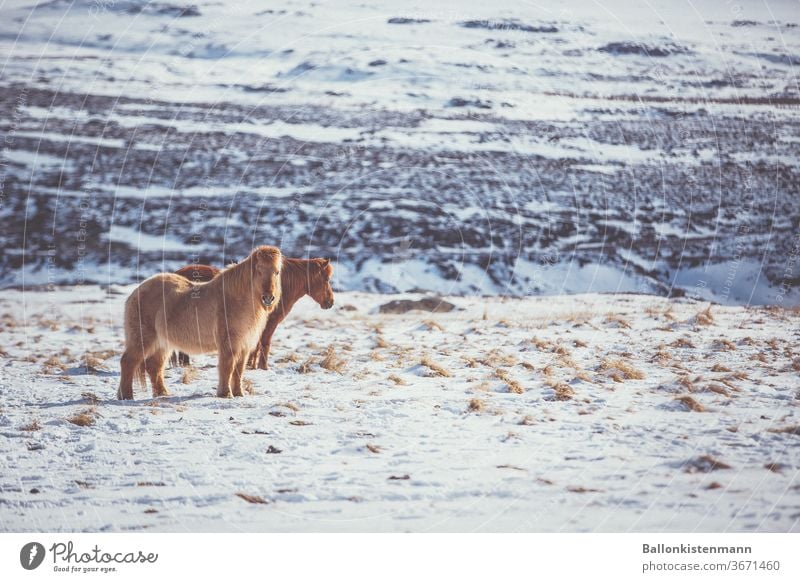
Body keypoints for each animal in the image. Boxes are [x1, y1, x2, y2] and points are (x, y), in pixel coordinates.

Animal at [117, 246, 282, 402]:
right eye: (259, 270)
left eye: (277, 272)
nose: (268, 298)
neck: (235, 299)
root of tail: (135, 292)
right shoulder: (229, 345)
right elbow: (228, 367)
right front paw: (226, 394)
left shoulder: (244, 346)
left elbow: (239, 370)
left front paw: (239, 393)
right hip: (142, 339)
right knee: (128, 362)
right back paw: (126, 396)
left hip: (162, 343)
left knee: (154, 367)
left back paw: (162, 393)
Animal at [173, 260, 336, 370]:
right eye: (326, 279)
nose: (330, 302)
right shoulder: (269, 323)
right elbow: (264, 343)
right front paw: (263, 367)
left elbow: (255, 345)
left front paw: (251, 364)